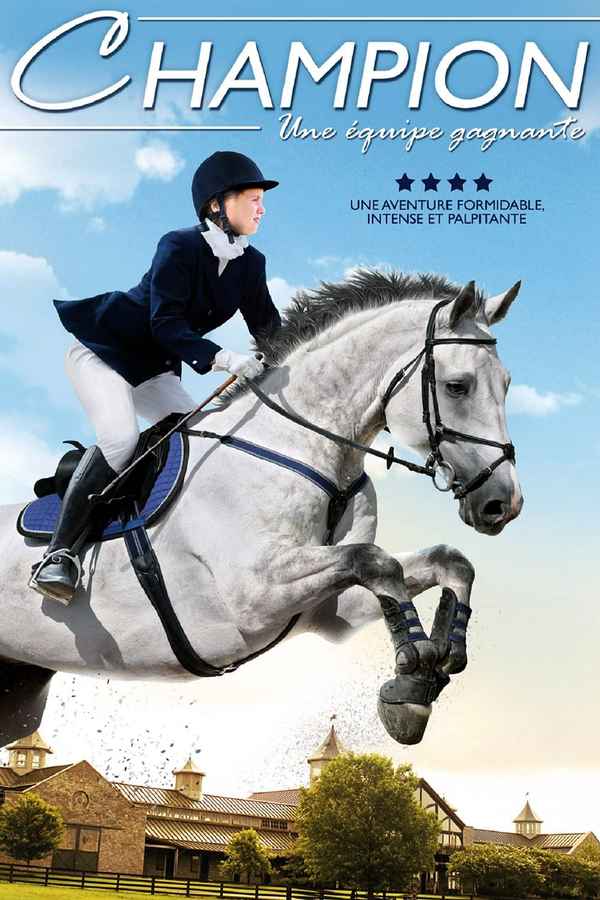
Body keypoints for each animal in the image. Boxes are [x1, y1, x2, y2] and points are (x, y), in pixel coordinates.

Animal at [0, 271, 523, 748]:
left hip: (18, 695)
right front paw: (413, 680)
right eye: (457, 386)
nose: (503, 504)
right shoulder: (255, 596)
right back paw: (57, 570)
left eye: (506, 383)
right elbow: (377, 562)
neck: (304, 446)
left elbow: (448, 562)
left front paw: (441, 656)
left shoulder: (327, 607)